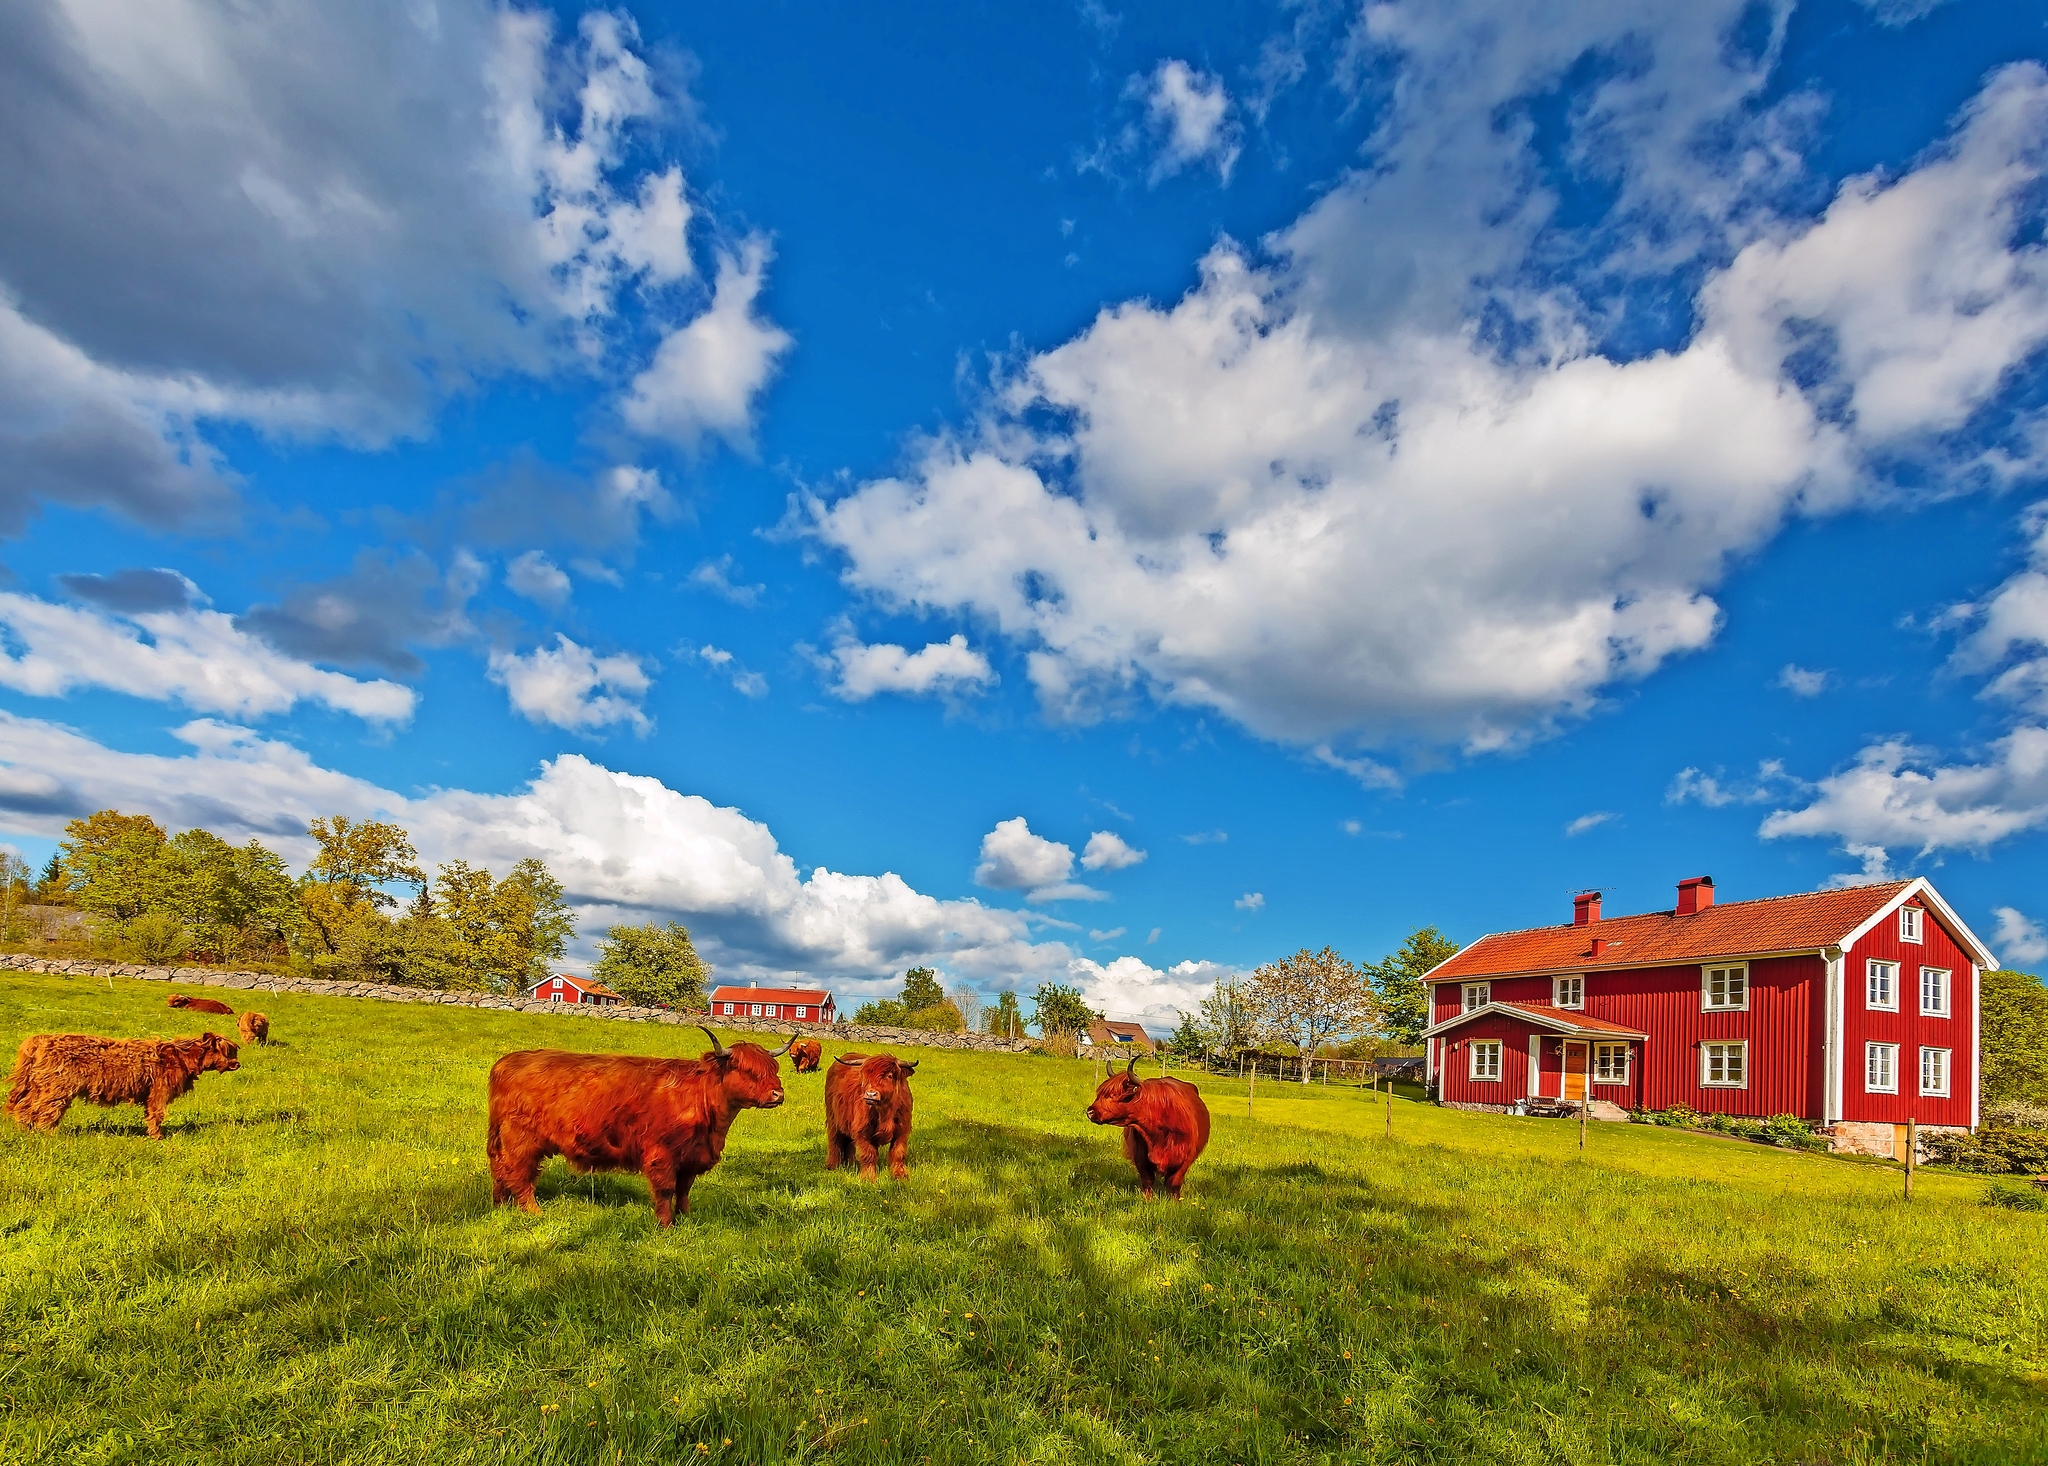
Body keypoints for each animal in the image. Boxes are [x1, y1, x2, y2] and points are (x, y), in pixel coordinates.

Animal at [6, 1032, 240, 1139]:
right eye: (228, 1051)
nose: (237, 1064)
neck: (181, 1057)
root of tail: (38, 1040)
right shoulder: (159, 1092)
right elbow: (156, 1115)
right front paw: (157, 1137)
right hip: (57, 1088)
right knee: (45, 1110)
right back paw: (49, 1133)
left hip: (37, 1085)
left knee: (24, 1106)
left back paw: (24, 1129)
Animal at [486, 1028, 790, 1226]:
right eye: (748, 1070)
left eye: (774, 1069)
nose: (778, 1094)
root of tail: (507, 1061)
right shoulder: (662, 1155)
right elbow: (666, 1190)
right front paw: (666, 1225)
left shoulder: (691, 1158)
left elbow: (684, 1189)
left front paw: (686, 1217)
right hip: (521, 1141)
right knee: (520, 1174)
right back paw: (533, 1212)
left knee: (501, 1171)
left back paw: (500, 1206)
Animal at [824, 1052, 917, 1180]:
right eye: (865, 1076)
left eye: (889, 1076)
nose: (870, 1094)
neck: (885, 1112)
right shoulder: (863, 1131)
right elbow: (869, 1154)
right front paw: (868, 1177)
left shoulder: (902, 1131)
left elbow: (898, 1153)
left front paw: (900, 1175)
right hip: (833, 1119)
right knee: (834, 1141)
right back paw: (833, 1165)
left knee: (848, 1143)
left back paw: (850, 1164)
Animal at [1085, 1054, 1211, 1200]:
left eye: (1114, 1095)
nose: (1090, 1112)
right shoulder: (1140, 1155)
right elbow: (1147, 1180)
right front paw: (1147, 1200)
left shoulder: (1186, 1157)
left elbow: (1174, 1183)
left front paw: (1175, 1201)